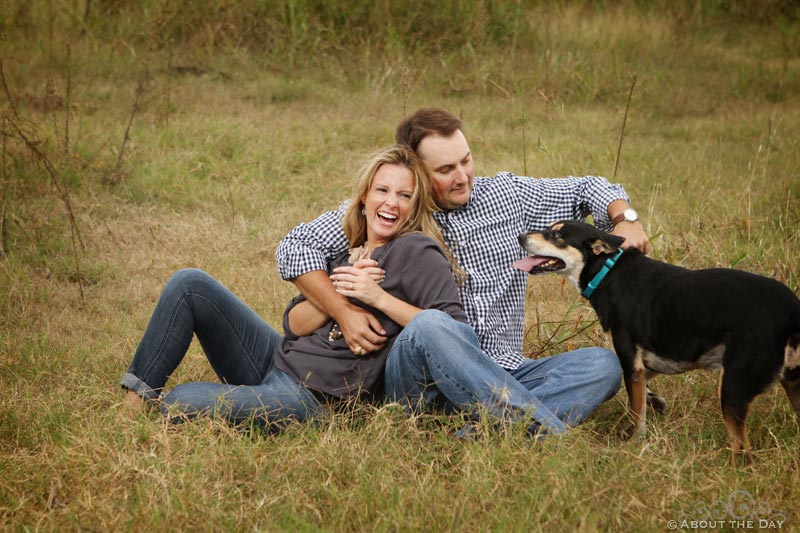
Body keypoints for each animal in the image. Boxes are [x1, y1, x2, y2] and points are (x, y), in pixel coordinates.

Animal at [512, 219, 800, 462]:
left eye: (557, 236)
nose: (520, 236)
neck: (607, 272)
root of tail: (791, 310)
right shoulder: (647, 362)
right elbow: (643, 390)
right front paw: (655, 400)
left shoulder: (630, 360)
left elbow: (636, 412)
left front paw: (632, 444)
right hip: (791, 384)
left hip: (733, 389)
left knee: (743, 450)